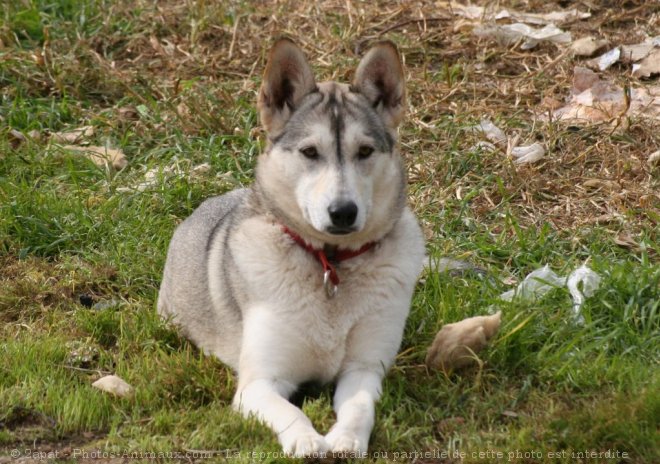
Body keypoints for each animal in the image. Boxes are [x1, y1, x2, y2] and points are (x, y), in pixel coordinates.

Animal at [160, 37, 428, 456]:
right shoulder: (259, 383)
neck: (331, 263)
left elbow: (359, 407)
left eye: (365, 152)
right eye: (310, 152)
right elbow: (290, 410)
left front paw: (346, 439)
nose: (343, 212)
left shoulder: (365, 370)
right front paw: (307, 440)